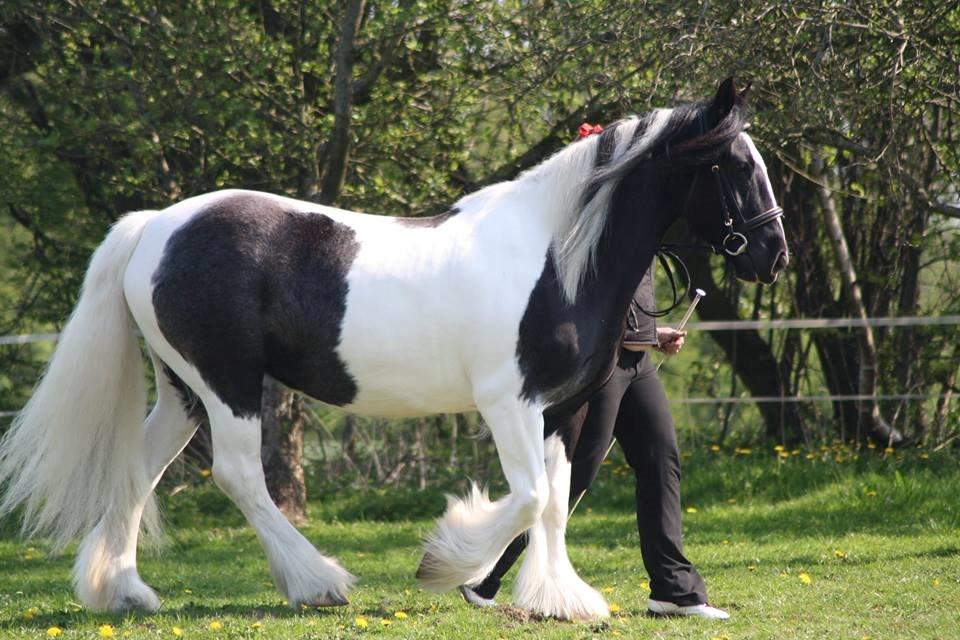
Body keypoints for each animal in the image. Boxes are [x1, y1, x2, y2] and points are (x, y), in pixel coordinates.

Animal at [0, 76, 788, 620]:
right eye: (733, 165)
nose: (774, 256)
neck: (557, 256)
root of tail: (155, 226)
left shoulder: (564, 409)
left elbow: (557, 501)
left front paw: (556, 597)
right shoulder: (509, 400)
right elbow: (531, 496)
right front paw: (450, 561)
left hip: (184, 389)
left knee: (140, 466)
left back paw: (123, 590)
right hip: (228, 383)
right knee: (238, 475)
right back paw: (318, 583)